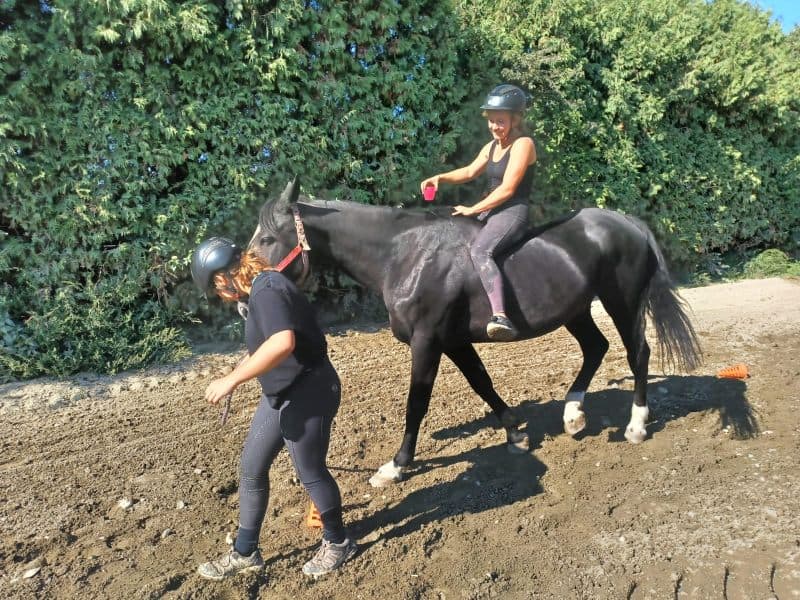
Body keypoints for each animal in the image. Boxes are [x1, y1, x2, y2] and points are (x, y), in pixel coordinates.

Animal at [247, 177, 701, 487]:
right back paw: (573, 414)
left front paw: (396, 465)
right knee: (595, 347)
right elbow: (482, 383)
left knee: (637, 353)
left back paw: (636, 424)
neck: (404, 254)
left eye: (267, 237)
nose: (248, 290)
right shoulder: (454, 341)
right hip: (576, 310)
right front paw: (516, 432)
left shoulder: (427, 341)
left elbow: (417, 403)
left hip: (622, 302)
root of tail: (627, 222)